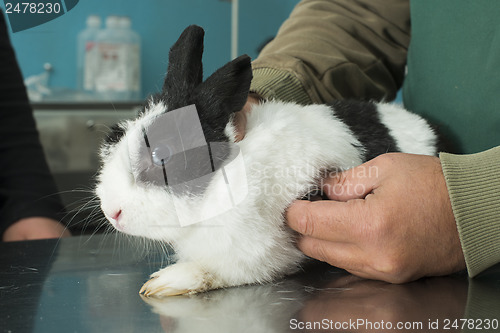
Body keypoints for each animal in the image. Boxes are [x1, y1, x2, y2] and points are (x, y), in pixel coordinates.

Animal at [94, 26, 438, 296]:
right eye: (116, 133)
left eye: (161, 155)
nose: (112, 212)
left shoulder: (260, 253)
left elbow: (224, 271)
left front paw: (167, 282)